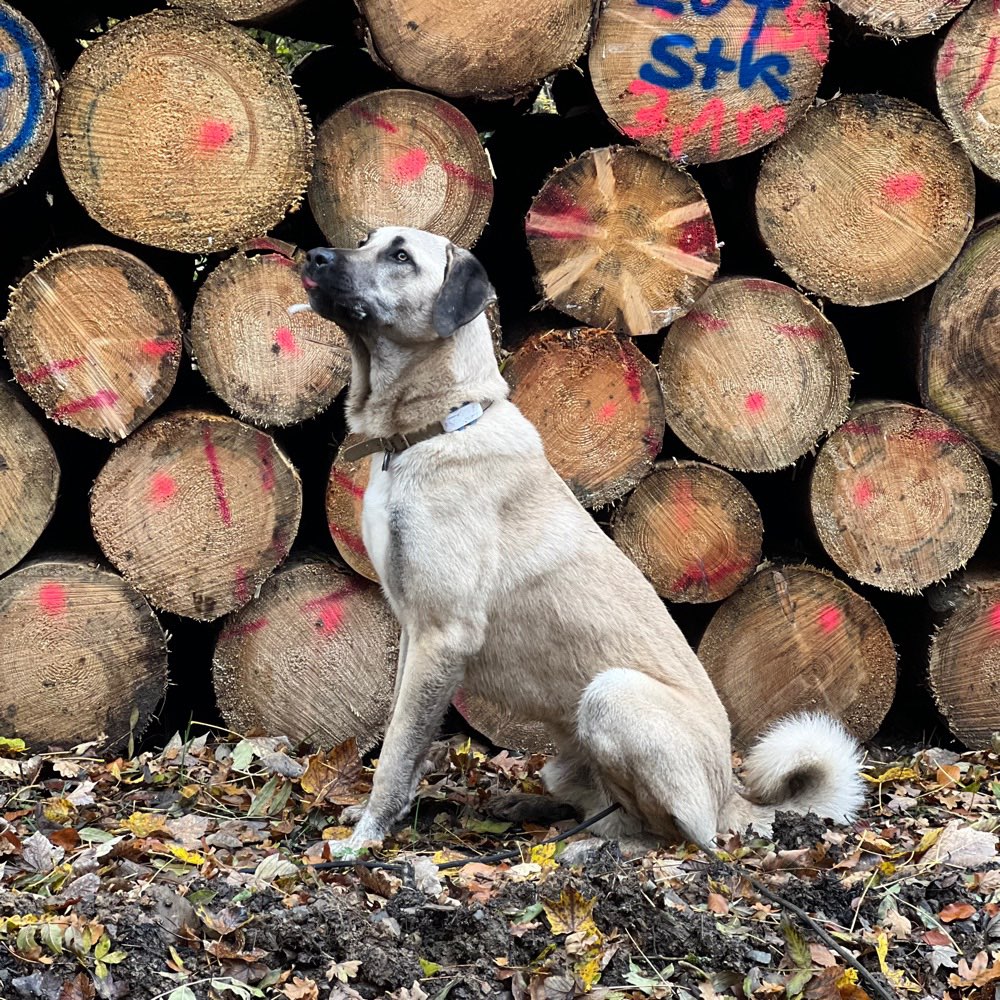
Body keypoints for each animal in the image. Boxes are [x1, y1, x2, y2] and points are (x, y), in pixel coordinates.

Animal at [298, 229, 868, 860]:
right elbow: (406, 734)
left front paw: (363, 839)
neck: (439, 424)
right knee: (601, 808)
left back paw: (597, 850)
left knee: (677, 835)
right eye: (365, 241)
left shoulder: (441, 633)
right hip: (569, 753)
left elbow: (397, 748)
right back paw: (531, 811)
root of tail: (730, 796)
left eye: (400, 256)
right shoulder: (414, 633)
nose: (312, 257)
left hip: (611, 695)